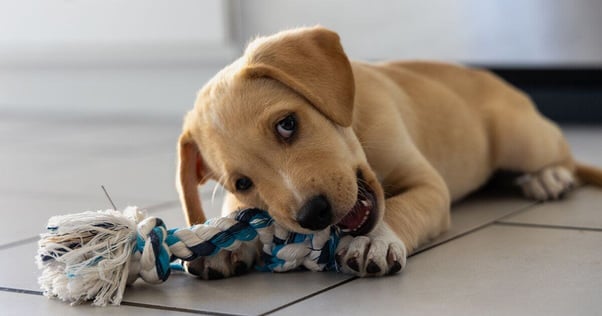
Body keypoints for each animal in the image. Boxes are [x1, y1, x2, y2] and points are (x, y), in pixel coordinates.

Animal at [175, 26, 600, 278]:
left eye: (287, 124)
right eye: (242, 183)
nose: (313, 215)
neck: (358, 125)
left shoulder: (430, 186)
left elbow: (399, 207)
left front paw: (373, 241)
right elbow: (237, 213)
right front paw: (227, 242)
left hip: (518, 138)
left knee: (562, 154)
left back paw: (549, 176)